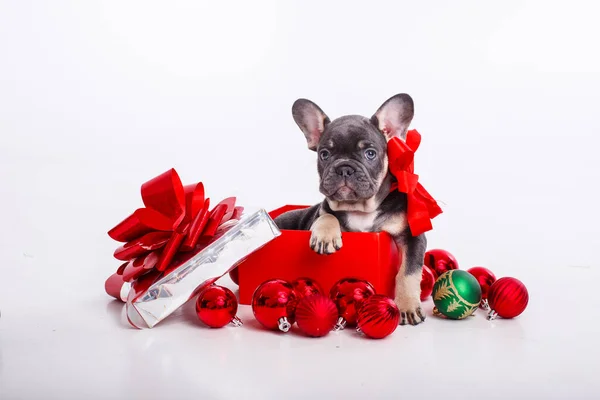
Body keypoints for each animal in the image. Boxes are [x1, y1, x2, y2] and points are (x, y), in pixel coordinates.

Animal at [276, 94, 426, 324]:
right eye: (324, 154)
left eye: (370, 153)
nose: (344, 168)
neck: (360, 208)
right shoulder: (323, 210)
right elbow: (327, 216)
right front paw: (325, 236)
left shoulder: (413, 236)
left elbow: (408, 272)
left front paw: (407, 306)